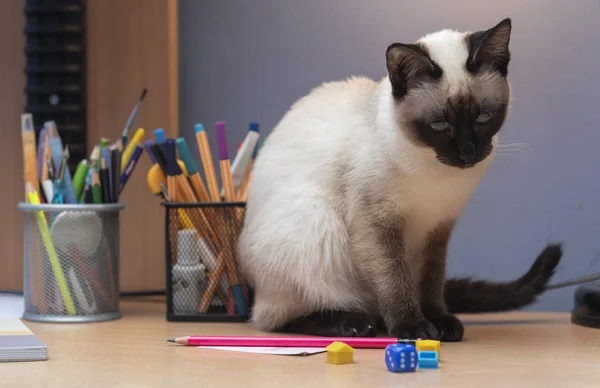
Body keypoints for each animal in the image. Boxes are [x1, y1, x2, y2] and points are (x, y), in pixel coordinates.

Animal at [236, 18, 564, 342]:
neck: (435, 175)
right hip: (312, 221)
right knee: (277, 319)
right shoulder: (376, 223)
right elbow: (395, 279)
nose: (468, 153)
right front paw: (413, 328)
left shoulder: (438, 228)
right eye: (439, 124)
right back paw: (356, 324)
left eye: (483, 117)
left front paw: (439, 323)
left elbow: (430, 282)